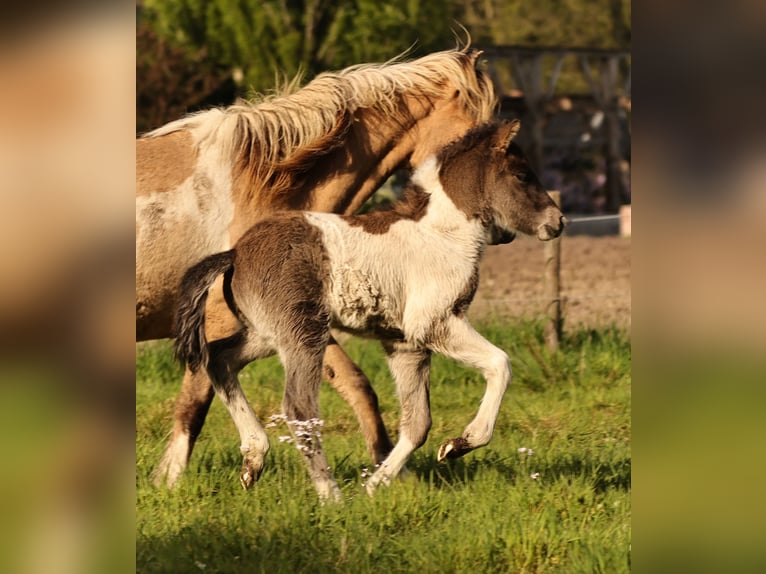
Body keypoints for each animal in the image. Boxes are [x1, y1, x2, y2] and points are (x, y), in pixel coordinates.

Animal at [136, 47, 498, 487]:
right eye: (474, 138)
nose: (501, 230)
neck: (267, 180)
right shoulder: (223, 319)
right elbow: (195, 400)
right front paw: (171, 480)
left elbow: (357, 385)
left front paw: (391, 472)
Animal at [173, 119, 565, 499]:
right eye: (522, 175)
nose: (558, 222)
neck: (443, 234)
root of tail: (236, 253)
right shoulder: (434, 322)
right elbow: (501, 364)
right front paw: (461, 444)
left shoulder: (405, 344)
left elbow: (418, 424)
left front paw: (377, 484)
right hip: (304, 334)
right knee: (298, 408)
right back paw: (330, 496)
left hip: (265, 335)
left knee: (219, 359)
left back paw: (254, 460)